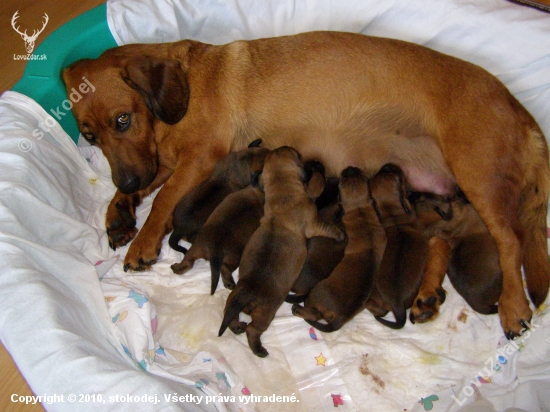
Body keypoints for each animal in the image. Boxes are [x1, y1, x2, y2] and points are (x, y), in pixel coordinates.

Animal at [219, 146, 344, 356]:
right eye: (298, 155)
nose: (317, 163)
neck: (282, 192)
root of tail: (246, 294)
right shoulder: (314, 224)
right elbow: (328, 228)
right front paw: (339, 235)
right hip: (265, 314)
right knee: (253, 330)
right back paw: (259, 349)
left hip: (231, 300)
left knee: (231, 315)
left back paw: (236, 327)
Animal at [294, 167, 388, 332]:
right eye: (362, 176)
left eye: (342, 182)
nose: (350, 169)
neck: (361, 212)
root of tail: (340, 319)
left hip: (316, 293)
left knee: (314, 314)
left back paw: (297, 309)